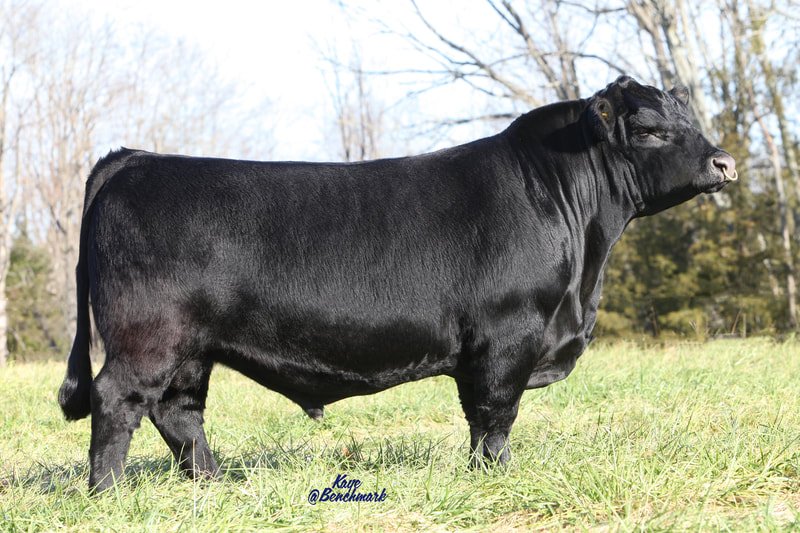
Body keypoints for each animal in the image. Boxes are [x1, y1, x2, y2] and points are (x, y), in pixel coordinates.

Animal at [58, 76, 736, 491]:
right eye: (647, 129)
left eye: (691, 119)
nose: (723, 161)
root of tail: (134, 158)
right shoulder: (506, 337)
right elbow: (493, 418)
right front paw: (494, 479)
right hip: (148, 335)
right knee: (117, 400)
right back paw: (108, 495)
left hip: (191, 349)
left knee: (178, 414)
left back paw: (214, 484)